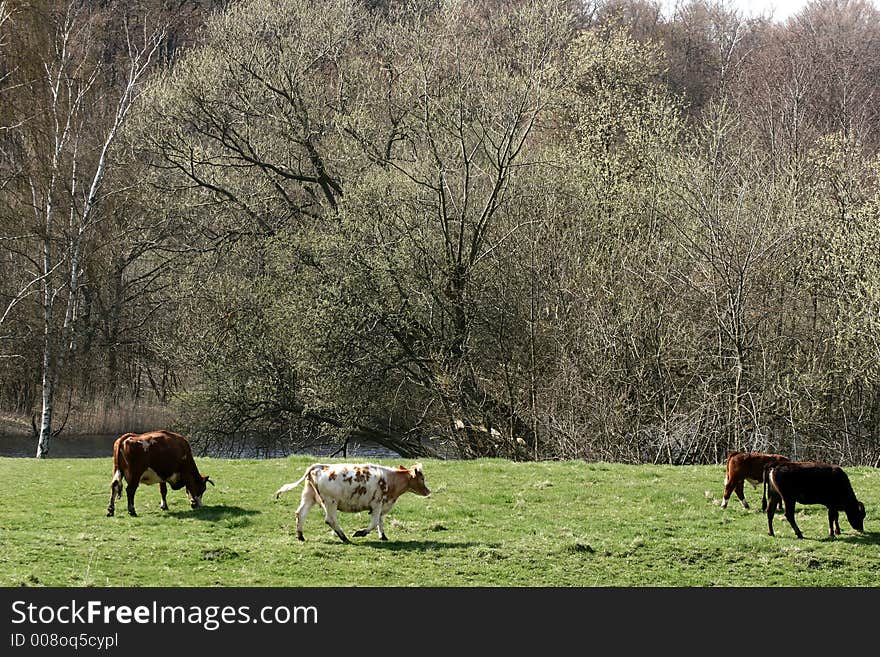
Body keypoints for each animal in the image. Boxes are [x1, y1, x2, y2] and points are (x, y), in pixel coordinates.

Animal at [272, 458, 430, 540]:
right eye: (422, 478)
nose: (428, 491)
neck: (390, 479)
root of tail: (319, 466)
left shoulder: (381, 505)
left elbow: (380, 521)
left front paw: (383, 536)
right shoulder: (377, 504)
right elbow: (374, 522)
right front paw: (360, 533)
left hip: (309, 496)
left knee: (300, 514)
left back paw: (300, 536)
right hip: (330, 501)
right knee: (330, 519)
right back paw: (344, 537)